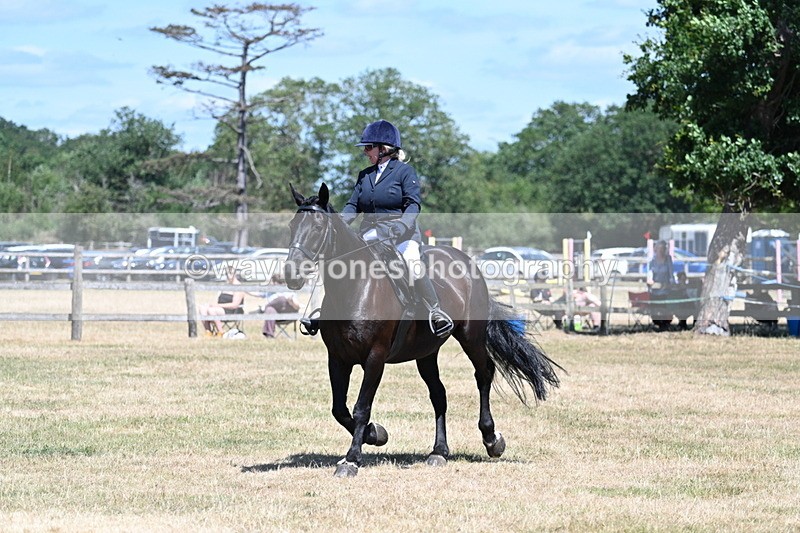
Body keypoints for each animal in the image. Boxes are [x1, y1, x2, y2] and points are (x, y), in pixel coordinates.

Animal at [284, 183, 562, 477]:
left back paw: (491, 439)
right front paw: (375, 434)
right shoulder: (337, 358)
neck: (355, 287)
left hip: (470, 337)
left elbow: (361, 407)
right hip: (426, 353)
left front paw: (352, 459)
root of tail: (466, 260)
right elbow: (339, 409)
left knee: (484, 374)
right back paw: (439, 452)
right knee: (439, 395)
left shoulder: (375, 358)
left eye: (316, 227)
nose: (291, 274)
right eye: (292, 225)